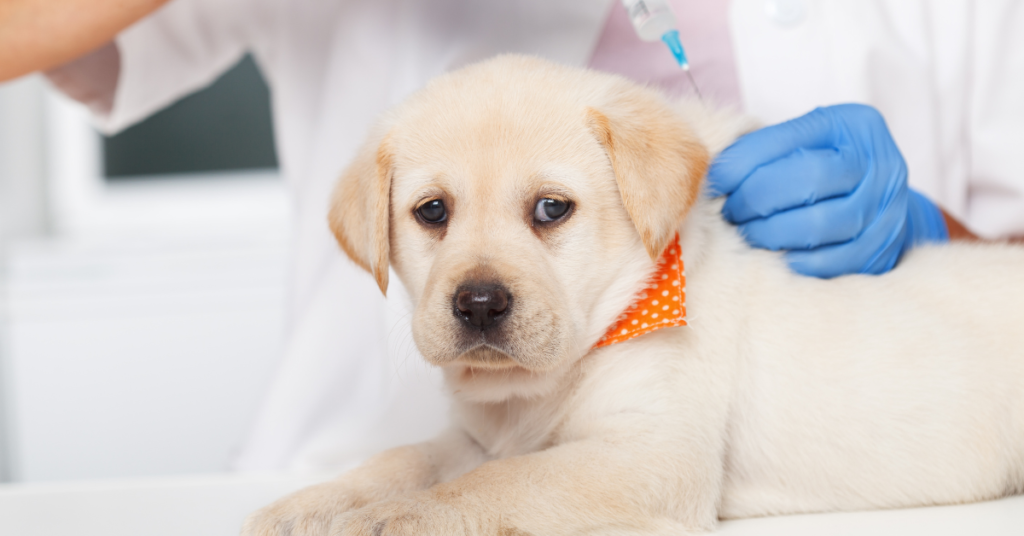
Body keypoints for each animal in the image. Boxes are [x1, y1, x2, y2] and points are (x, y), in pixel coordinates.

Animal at [241, 54, 1024, 536]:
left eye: (551, 209)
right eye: (432, 212)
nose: (480, 305)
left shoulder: (649, 455)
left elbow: (500, 483)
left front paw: (399, 518)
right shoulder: (474, 436)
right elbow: (404, 459)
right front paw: (313, 503)